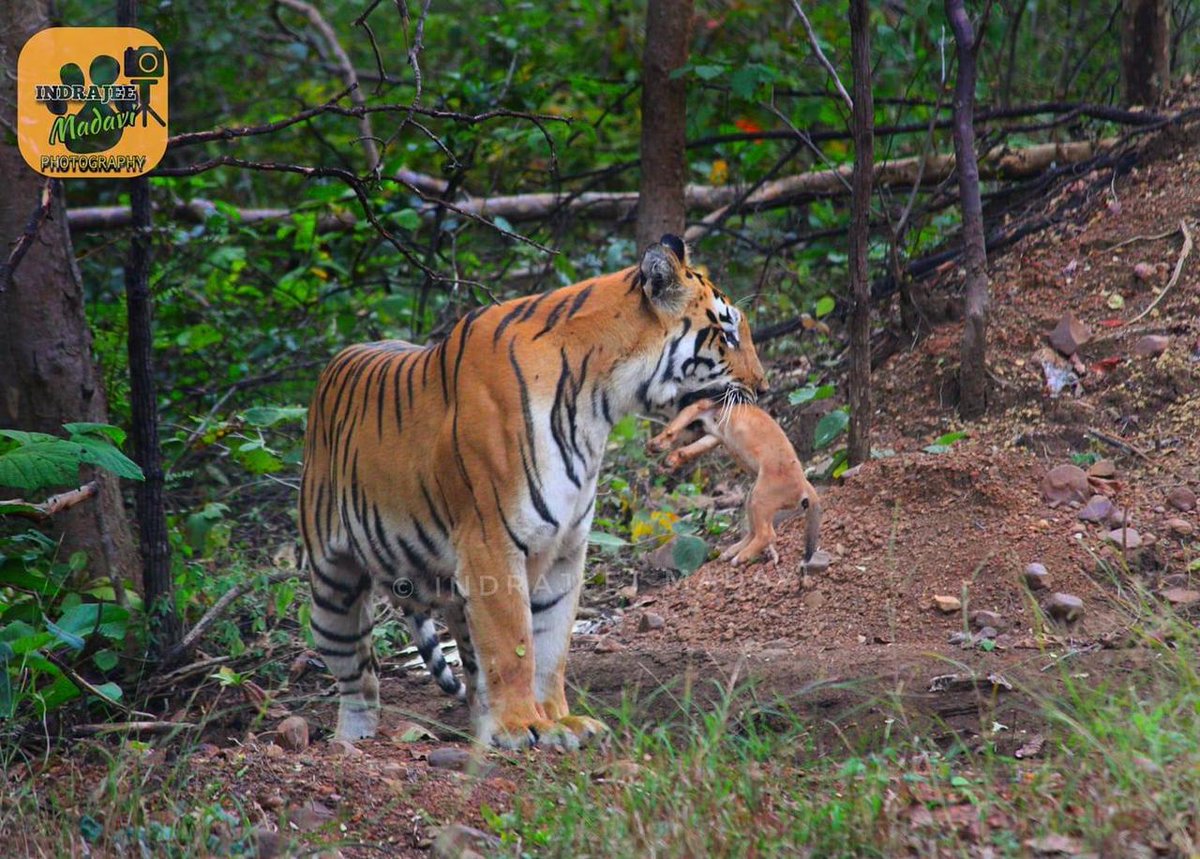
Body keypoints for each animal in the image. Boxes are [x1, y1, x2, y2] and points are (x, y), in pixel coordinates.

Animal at [298, 235, 767, 749]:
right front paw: (522, 725)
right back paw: (355, 738)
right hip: (332, 586)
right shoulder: (491, 544)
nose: (763, 387)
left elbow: (549, 644)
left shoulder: (565, 548)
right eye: (727, 333)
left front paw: (560, 721)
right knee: (358, 678)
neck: (598, 403)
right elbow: (513, 643)